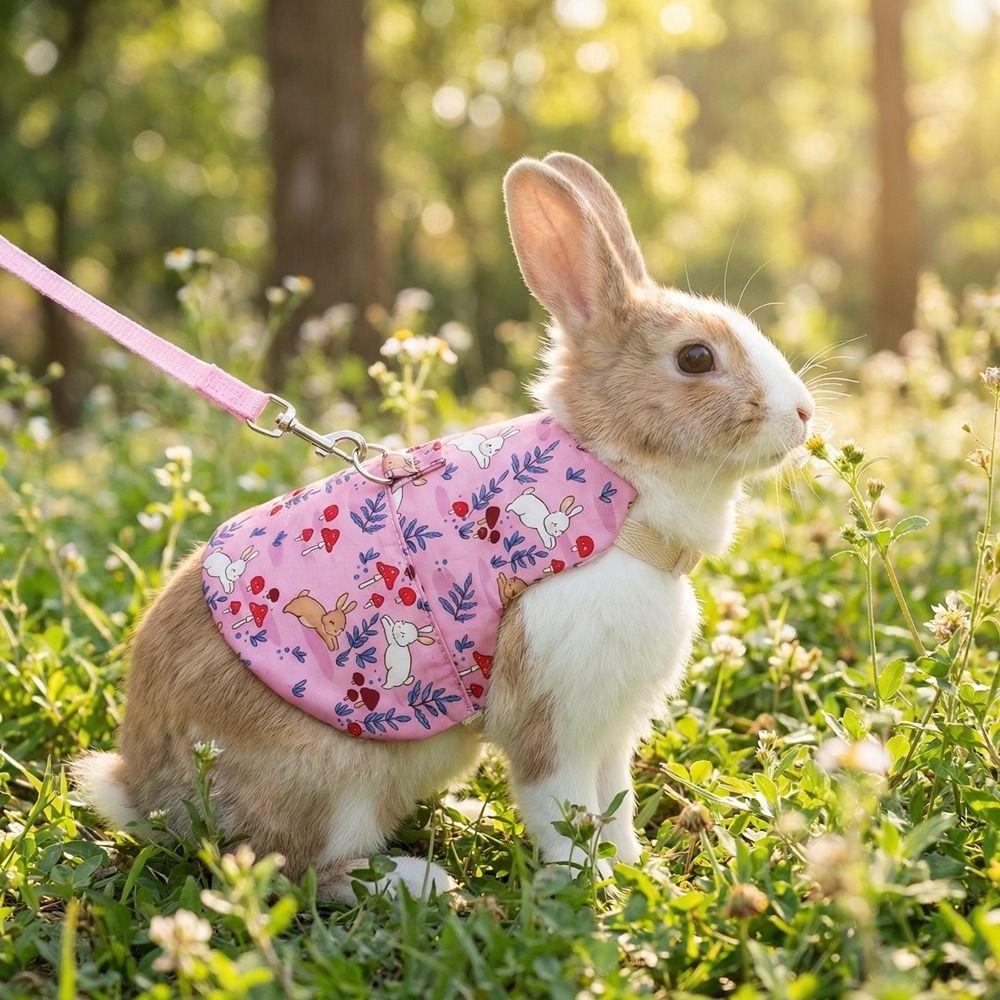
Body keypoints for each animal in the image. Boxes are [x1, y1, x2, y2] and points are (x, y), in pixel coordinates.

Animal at [72, 152, 815, 901]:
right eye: (695, 359)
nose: (805, 414)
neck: (619, 486)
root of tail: (146, 795)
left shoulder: (610, 729)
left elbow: (617, 803)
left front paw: (635, 872)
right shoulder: (554, 719)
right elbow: (563, 808)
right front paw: (587, 887)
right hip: (335, 782)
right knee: (294, 866)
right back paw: (420, 881)